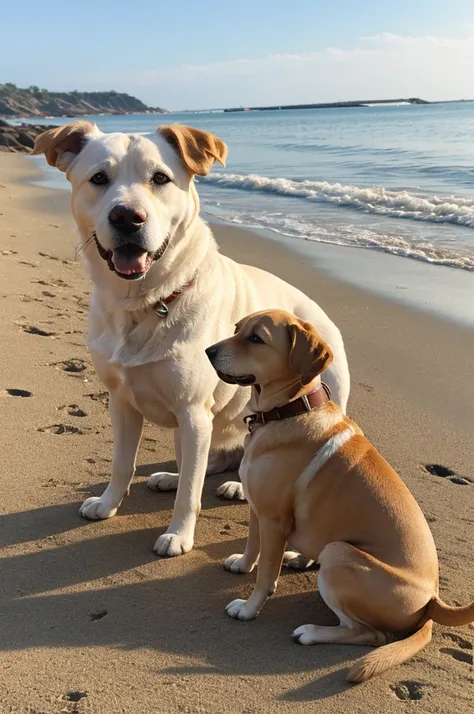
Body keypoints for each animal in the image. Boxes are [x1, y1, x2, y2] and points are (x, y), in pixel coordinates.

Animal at [33, 122, 350, 556]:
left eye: (160, 178)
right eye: (98, 178)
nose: (127, 217)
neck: (146, 303)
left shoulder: (194, 411)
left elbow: (190, 493)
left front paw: (179, 534)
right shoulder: (121, 401)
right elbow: (123, 463)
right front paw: (108, 503)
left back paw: (237, 488)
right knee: (202, 463)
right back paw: (177, 476)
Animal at [206, 308, 474, 680]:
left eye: (256, 338)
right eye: (236, 328)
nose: (208, 351)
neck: (294, 408)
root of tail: (433, 603)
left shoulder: (273, 518)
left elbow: (266, 574)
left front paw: (248, 609)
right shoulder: (258, 510)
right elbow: (252, 545)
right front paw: (244, 564)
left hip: (338, 554)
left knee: (371, 634)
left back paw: (311, 632)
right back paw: (299, 559)